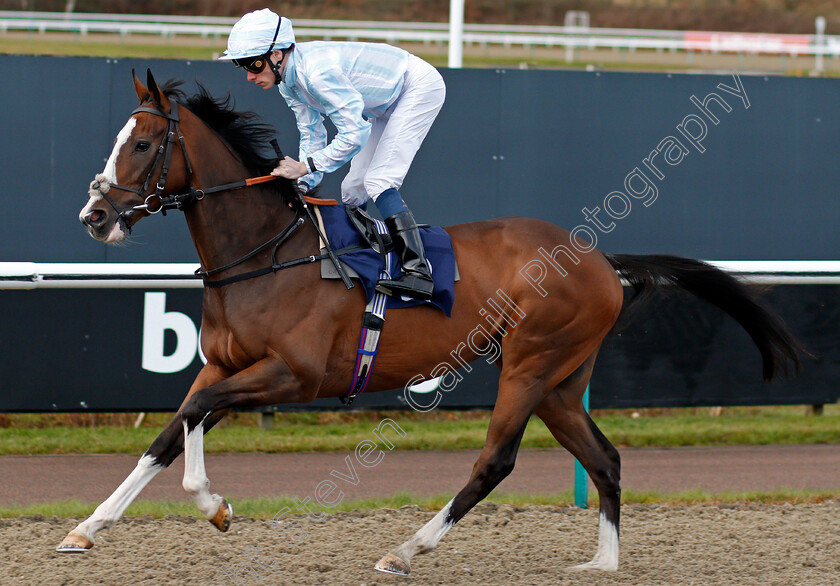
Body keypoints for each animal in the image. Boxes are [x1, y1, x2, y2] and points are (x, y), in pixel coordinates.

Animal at [60, 70, 800, 572]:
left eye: (144, 143)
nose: (94, 216)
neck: (267, 251)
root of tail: (598, 257)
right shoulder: (226, 364)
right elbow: (169, 433)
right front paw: (86, 529)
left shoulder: (293, 375)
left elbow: (192, 417)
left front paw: (214, 506)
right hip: (560, 380)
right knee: (606, 458)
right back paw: (603, 563)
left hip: (530, 362)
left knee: (496, 460)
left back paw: (406, 550)